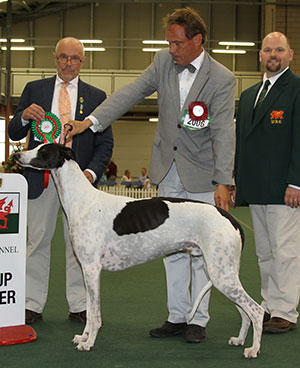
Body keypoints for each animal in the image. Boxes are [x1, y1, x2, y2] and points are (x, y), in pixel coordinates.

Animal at [14, 143, 262, 356]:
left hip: (221, 275)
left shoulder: (92, 269)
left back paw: (253, 349)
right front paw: (83, 337)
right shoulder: (87, 270)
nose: (16, 155)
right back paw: (240, 340)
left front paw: (89, 342)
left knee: (256, 310)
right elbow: (89, 310)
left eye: (43, 150)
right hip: (223, 273)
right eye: (37, 146)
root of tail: (229, 217)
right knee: (245, 311)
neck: (82, 199)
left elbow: (94, 314)